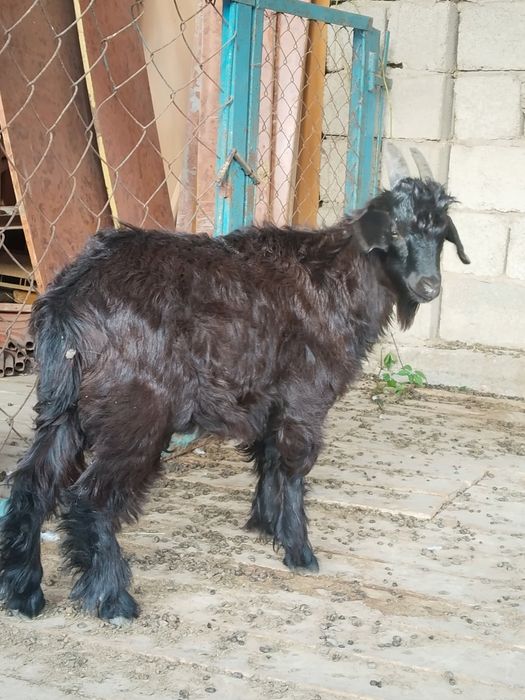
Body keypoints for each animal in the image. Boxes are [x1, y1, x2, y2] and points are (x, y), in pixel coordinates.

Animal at [0, 147, 470, 622]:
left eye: (441, 234)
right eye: (395, 229)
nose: (428, 286)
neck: (338, 280)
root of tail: (69, 301)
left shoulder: (267, 398)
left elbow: (267, 459)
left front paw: (265, 526)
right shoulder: (305, 398)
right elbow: (293, 468)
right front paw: (300, 551)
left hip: (63, 405)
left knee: (30, 486)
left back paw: (24, 592)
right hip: (136, 412)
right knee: (88, 498)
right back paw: (112, 598)